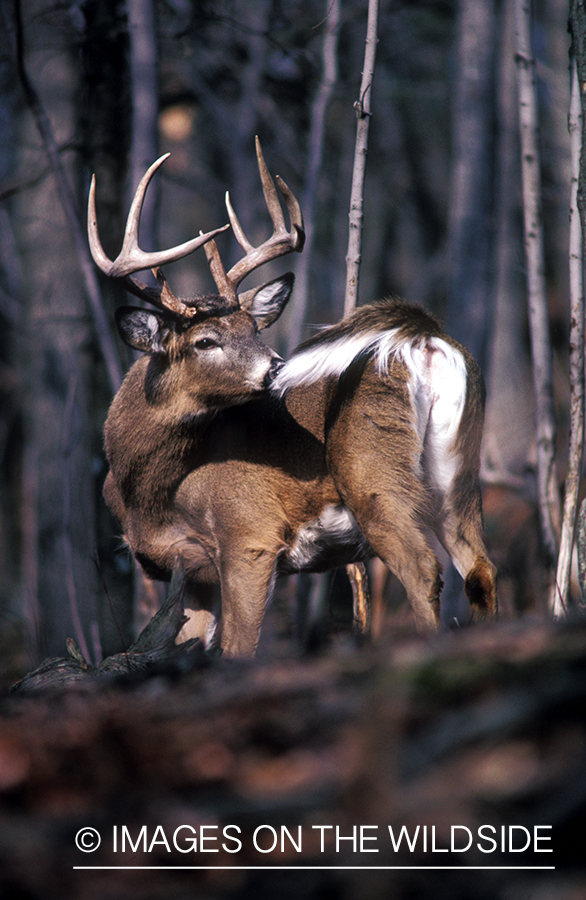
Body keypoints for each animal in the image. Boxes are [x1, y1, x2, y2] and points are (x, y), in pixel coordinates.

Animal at [88, 139, 497, 658]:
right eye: (205, 341)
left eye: (253, 328)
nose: (275, 367)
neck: (148, 492)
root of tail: (422, 337)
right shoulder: (194, 575)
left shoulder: (249, 536)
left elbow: (237, 650)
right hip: (457, 471)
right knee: (481, 571)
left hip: (372, 473)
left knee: (424, 572)